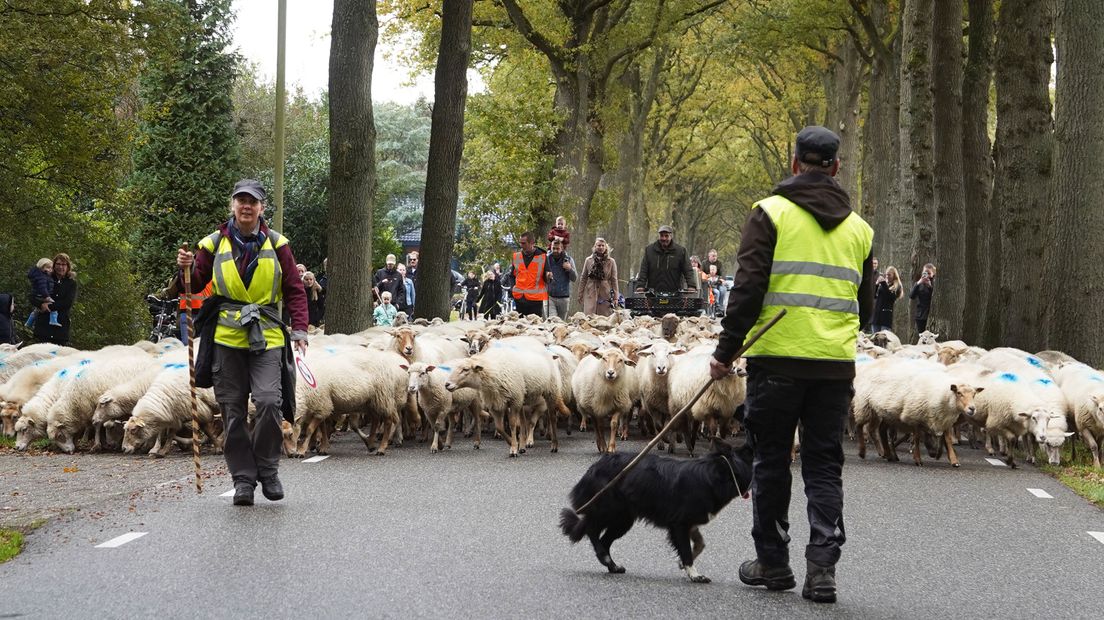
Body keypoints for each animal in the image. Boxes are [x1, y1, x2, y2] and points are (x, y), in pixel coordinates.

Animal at [560, 434, 750, 578]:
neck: (714, 475)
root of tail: (594, 467)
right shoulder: (679, 524)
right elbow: (686, 550)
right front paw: (694, 574)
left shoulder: (688, 522)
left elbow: (700, 543)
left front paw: (682, 564)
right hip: (609, 510)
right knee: (591, 530)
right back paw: (605, 558)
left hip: (623, 520)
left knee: (604, 539)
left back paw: (612, 565)